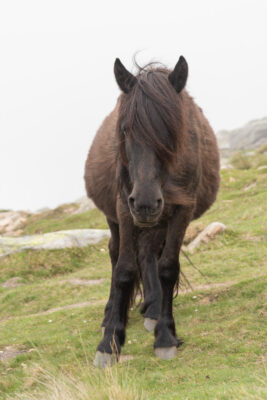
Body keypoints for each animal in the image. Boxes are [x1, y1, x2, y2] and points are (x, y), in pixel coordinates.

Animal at [85, 54, 221, 368]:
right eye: (125, 130)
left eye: (172, 132)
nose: (145, 202)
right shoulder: (125, 208)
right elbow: (123, 271)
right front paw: (109, 343)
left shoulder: (182, 209)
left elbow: (167, 268)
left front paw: (166, 337)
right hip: (120, 217)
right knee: (116, 253)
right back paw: (112, 312)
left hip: (159, 220)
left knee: (149, 255)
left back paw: (153, 310)